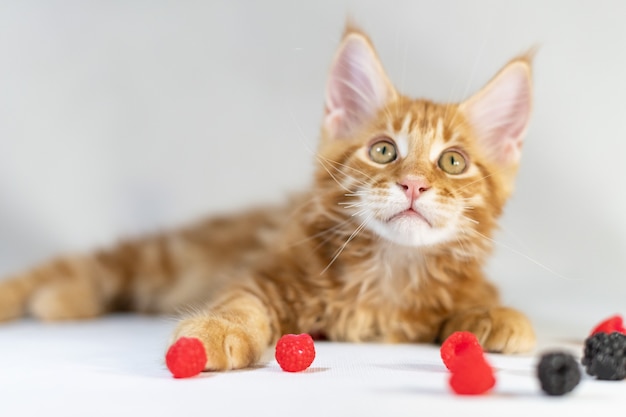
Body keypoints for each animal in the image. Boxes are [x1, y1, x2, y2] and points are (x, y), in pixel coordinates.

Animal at [1, 26, 536, 370]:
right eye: (384, 151)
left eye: (453, 162)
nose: (413, 185)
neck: (389, 271)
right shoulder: (264, 274)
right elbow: (240, 304)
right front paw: (215, 331)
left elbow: (480, 298)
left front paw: (498, 316)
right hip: (167, 256)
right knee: (83, 266)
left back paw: (61, 302)